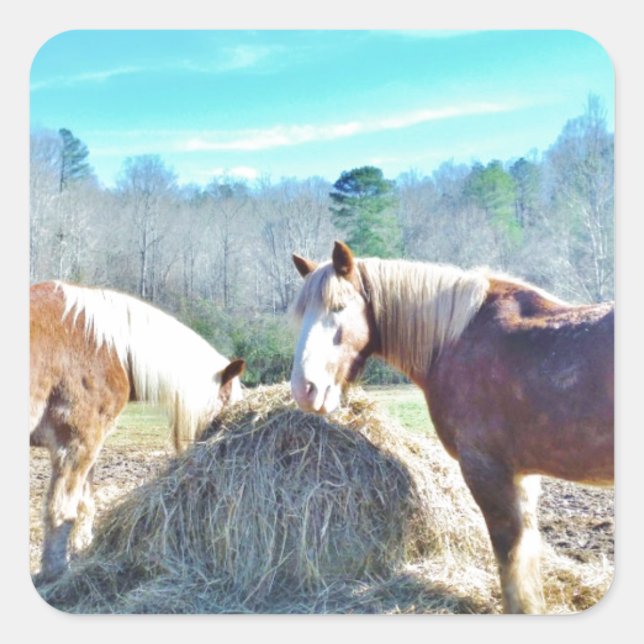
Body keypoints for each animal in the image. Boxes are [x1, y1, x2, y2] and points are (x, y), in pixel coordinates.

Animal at [30, 280, 245, 582]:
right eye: (225, 405)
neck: (107, 345)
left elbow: (85, 503)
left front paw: (81, 551)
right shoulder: (77, 443)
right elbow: (62, 507)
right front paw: (57, 571)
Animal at [289, 241, 613, 614]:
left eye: (339, 308)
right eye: (302, 315)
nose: (305, 389)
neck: (457, 339)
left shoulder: (486, 470)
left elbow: (510, 555)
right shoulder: (522, 475)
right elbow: (527, 553)